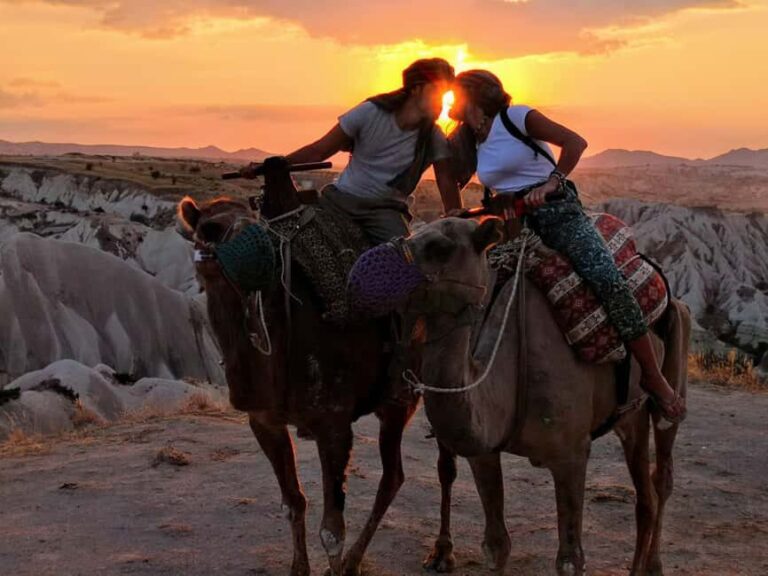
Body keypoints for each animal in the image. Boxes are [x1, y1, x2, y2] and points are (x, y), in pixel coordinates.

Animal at [177, 158, 420, 576]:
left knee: (397, 475)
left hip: (405, 397)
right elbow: (293, 502)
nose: (255, 251)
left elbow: (332, 529)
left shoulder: (334, 423)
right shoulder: (264, 420)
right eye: (209, 228)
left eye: (256, 221)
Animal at [402, 217, 690, 576]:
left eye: (440, 247)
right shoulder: (483, 451)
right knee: (645, 495)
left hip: (672, 376)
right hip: (630, 417)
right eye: (410, 235)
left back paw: (654, 565)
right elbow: (496, 544)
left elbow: (570, 559)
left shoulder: (572, 453)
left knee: (662, 475)